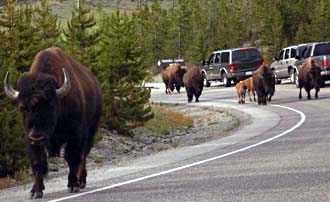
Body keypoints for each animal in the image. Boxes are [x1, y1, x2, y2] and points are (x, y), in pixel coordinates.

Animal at [3, 47, 102, 197]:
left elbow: (71, 157)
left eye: (50, 105)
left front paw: (73, 185)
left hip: (91, 131)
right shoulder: (30, 139)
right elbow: (38, 162)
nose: (37, 136)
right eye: (22, 107)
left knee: (83, 155)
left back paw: (81, 181)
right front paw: (36, 191)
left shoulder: (75, 136)